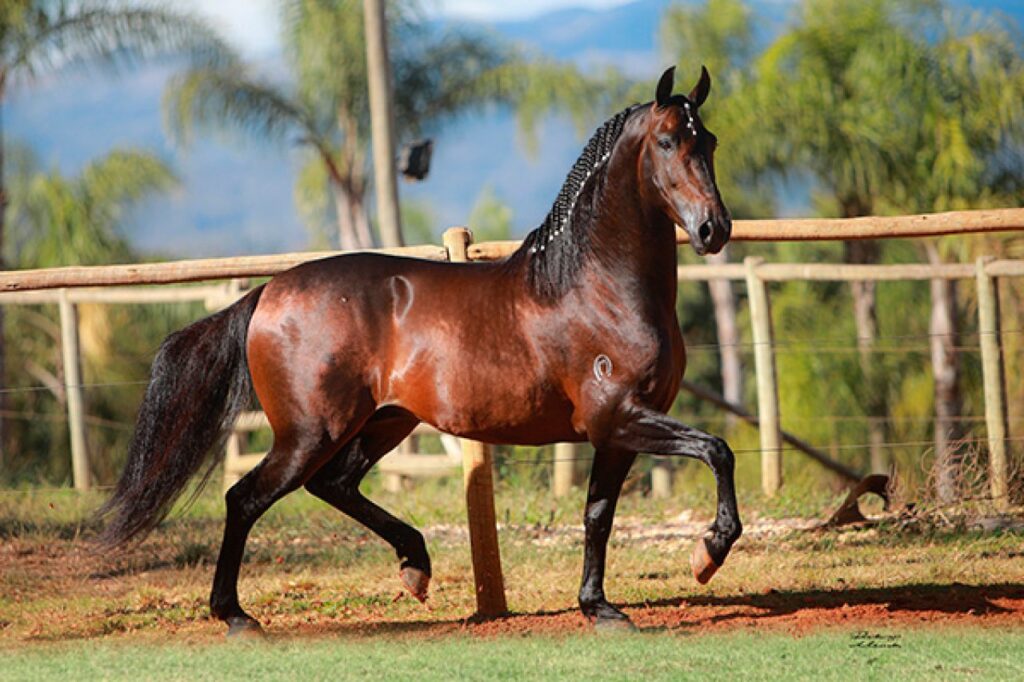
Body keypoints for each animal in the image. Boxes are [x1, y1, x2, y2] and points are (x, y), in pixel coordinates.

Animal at [99, 66, 741, 634]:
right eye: (667, 141)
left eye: (709, 141)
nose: (714, 229)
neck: (594, 286)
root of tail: (267, 293)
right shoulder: (619, 416)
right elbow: (718, 450)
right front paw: (707, 553)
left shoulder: (615, 431)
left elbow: (598, 515)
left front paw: (599, 608)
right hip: (311, 432)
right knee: (245, 498)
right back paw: (236, 616)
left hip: (385, 421)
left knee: (332, 485)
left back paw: (416, 566)